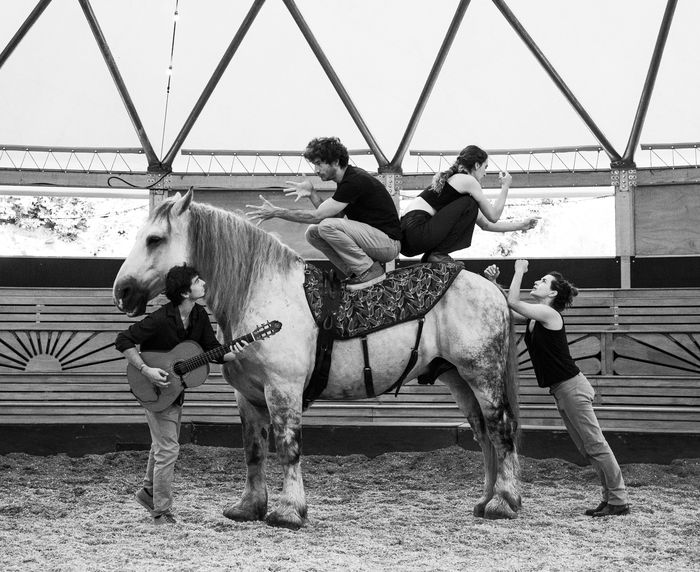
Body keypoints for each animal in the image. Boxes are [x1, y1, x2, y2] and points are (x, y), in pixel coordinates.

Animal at [112, 190, 521, 529]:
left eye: (154, 239)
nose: (122, 291)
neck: (264, 293)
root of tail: (490, 287)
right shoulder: (247, 396)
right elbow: (254, 450)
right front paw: (248, 507)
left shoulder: (283, 389)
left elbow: (288, 447)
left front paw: (289, 511)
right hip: (458, 378)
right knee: (483, 434)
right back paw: (486, 500)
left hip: (481, 375)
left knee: (500, 430)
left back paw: (504, 502)